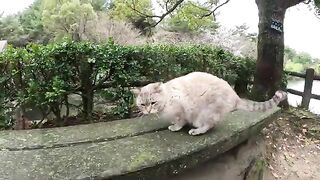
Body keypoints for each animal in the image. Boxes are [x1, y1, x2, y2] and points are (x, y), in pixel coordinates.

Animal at [131, 71, 288, 135]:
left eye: (153, 102)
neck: (168, 97)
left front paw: (175, 127)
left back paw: (196, 131)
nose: (148, 111)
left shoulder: (181, 111)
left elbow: (180, 122)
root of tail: (235, 95)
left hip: (204, 115)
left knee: (209, 125)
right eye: (142, 104)